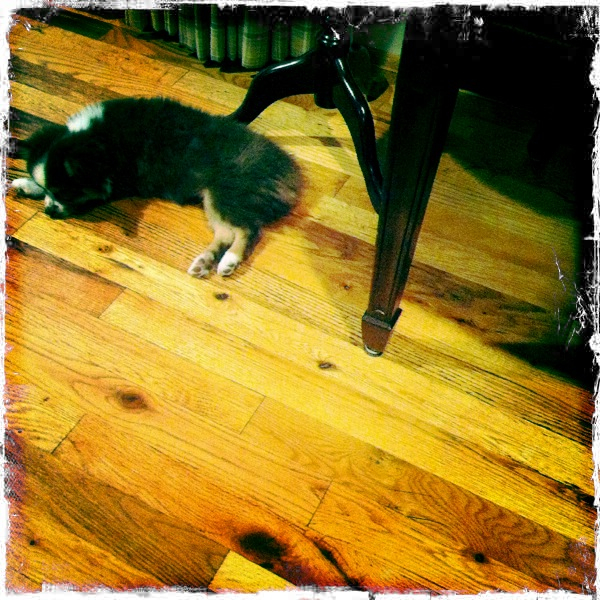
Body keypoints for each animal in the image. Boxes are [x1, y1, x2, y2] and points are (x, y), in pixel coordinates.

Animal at [12, 97, 301, 277]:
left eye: (67, 194)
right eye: (50, 192)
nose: (49, 212)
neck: (97, 139)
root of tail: (287, 173)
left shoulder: (118, 181)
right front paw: (27, 184)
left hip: (224, 194)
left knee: (247, 230)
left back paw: (229, 260)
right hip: (212, 199)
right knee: (225, 233)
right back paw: (204, 262)